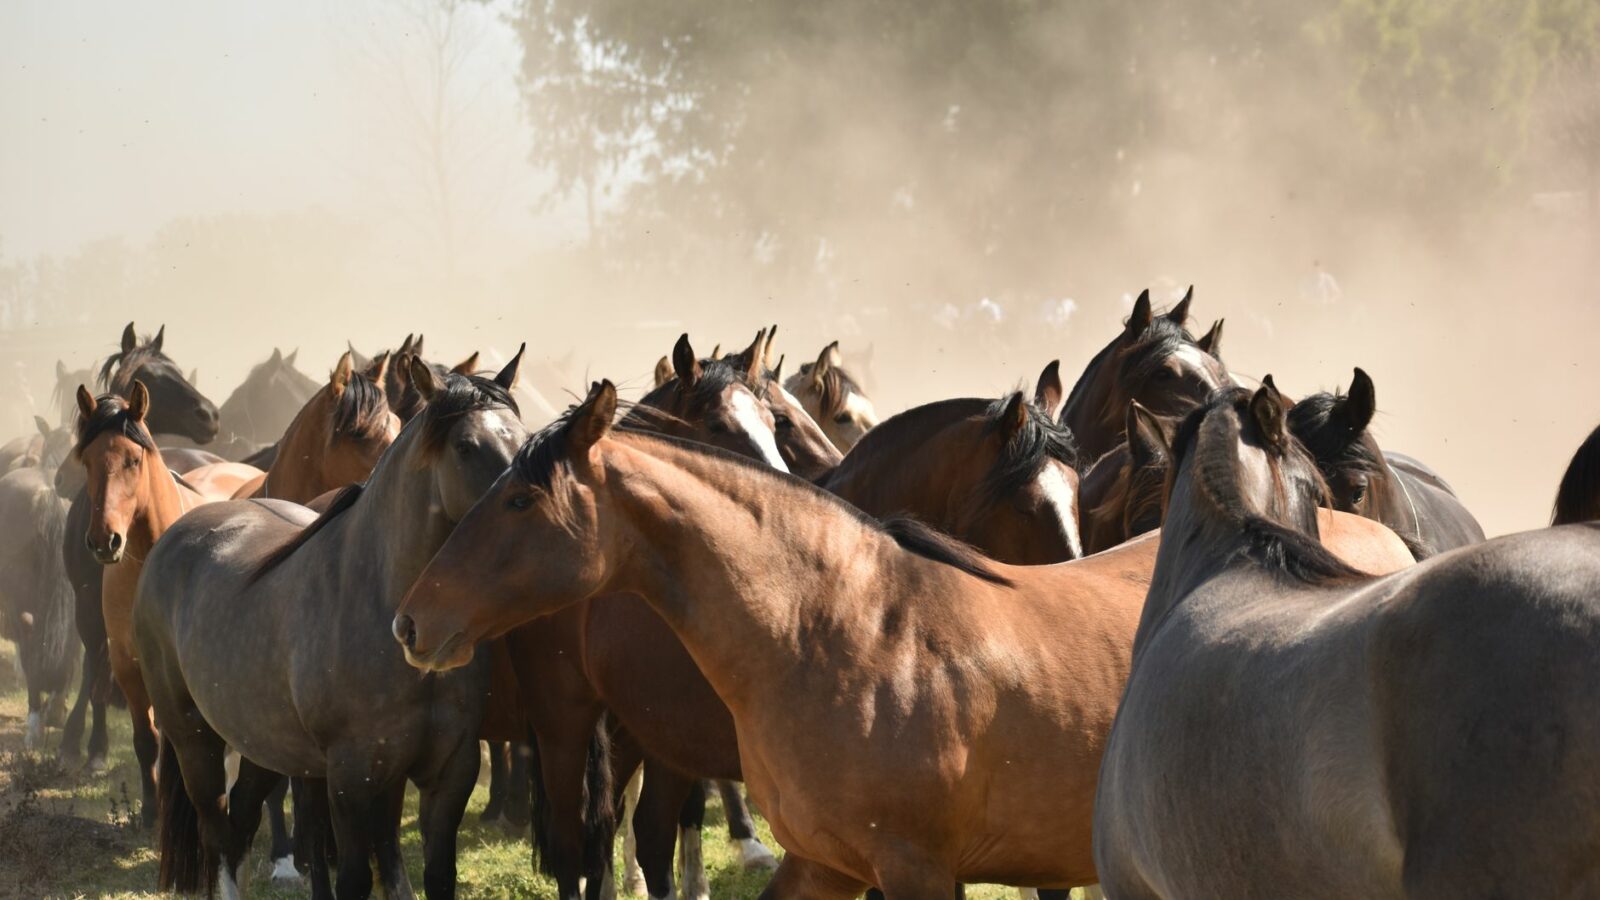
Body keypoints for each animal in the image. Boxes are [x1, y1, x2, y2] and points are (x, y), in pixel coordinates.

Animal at [73, 384, 262, 826]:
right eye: (87, 461)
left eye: (133, 459)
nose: (104, 541)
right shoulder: (127, 663)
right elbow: (146, 739)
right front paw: (149, 810)